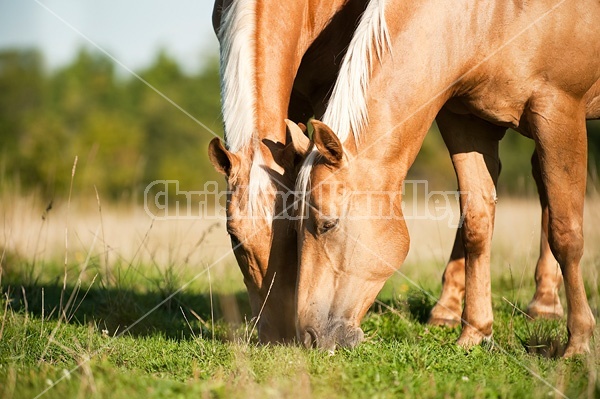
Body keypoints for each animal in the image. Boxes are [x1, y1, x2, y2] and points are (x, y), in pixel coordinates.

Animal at [292, 0, 596, 356]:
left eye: (328, 224)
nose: (308, 337)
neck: (491, 17)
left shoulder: (559, 111)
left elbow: (567, 235)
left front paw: (578, 342)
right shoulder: (467, 123)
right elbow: (477, 225)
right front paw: (474, 333)